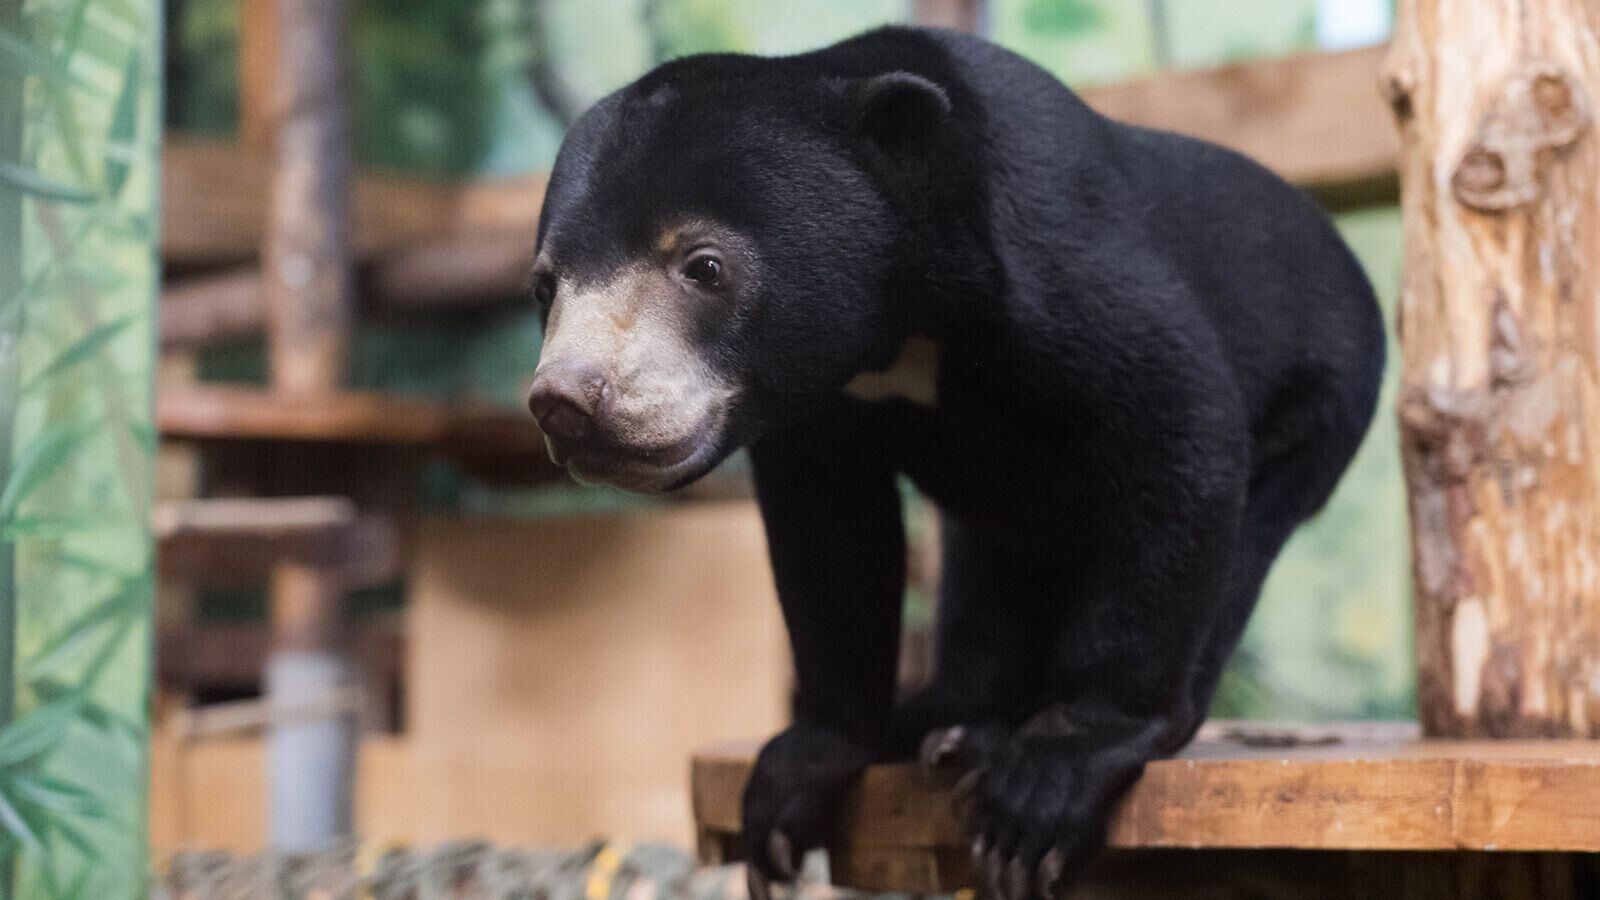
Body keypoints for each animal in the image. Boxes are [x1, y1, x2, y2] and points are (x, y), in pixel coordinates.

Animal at [524, 24, 1388, 890]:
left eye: (703, 265)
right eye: (545, 287)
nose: (567, 402)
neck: (902, 325)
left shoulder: (1064, 270)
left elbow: (1178, 425)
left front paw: (1043, 789)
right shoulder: (824, 407)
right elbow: (831, 535)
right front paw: (793, 787)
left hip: (1317, 412)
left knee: (1238, 549)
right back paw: (947, 721)